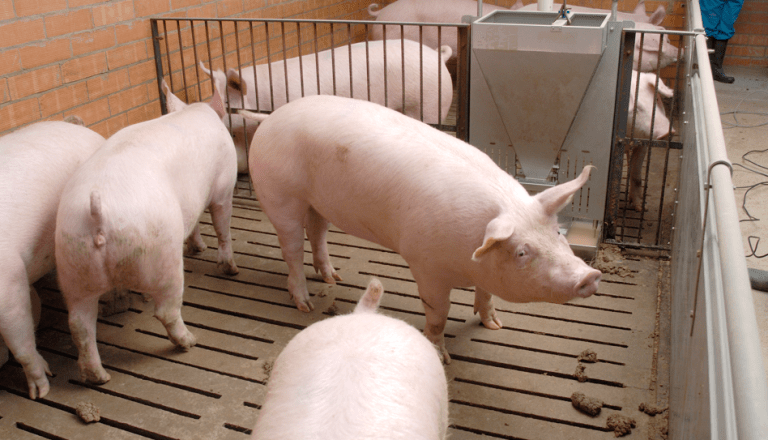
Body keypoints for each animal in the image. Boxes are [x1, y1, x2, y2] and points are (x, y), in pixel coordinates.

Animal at [55, 85, 239, 384]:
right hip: (161, 255)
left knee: (80, 325)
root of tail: (98, 212)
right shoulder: (223, 186)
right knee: (166, 310)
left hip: (74, 263)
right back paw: (190, 341)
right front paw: (230, 268)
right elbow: (221, 224)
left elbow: (195, 224)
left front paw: (198, 247)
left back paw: (99, 377)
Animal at [243, 95, 601, 363]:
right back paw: (306, 305)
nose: (590, 275)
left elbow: (486, 294)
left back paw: (334, 278)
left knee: (317, 232)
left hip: (319, 203)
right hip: (281, 196)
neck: (468, 260)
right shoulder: (426, 265)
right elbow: (438, 312)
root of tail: (268, 118)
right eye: (522, 252)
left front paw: (495, 326)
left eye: (558, 234)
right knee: (291, 248)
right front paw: (442, 357)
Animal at [625, 71, 674, 211]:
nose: (667, 132)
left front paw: (640, 207)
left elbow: (636, 175)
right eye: (636, 108)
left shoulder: (643, 144)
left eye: (656, 99)